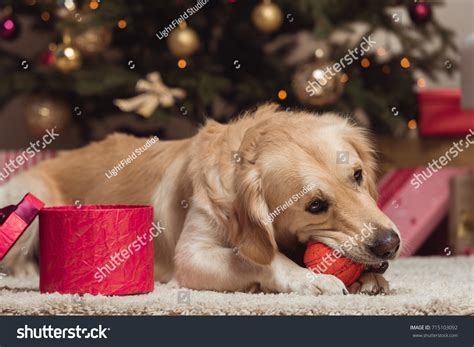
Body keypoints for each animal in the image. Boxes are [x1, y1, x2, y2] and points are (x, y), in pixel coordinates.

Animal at [0, 104, 400, 296]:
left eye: (358, 176)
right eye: (315, 205)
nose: (390, 243)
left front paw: (369, 279)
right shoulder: (192, 255)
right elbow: (258, 259)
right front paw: (309, 279)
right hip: (28, 189)